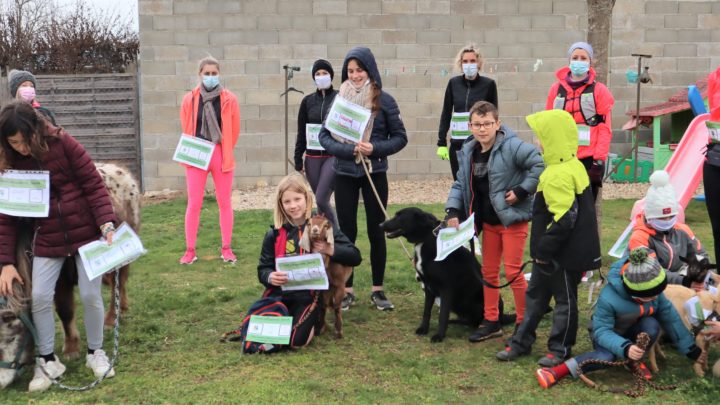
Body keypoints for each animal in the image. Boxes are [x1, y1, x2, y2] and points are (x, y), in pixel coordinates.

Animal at [380, 205, 516, 340]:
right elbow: (426, 312)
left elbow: (443, 315)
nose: (380, 225)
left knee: (478, 321)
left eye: (400, 216)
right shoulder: (428, 287)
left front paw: (439, 336)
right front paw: (424, 329)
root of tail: (502, 316)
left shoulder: (445, 289)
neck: (425, 240)